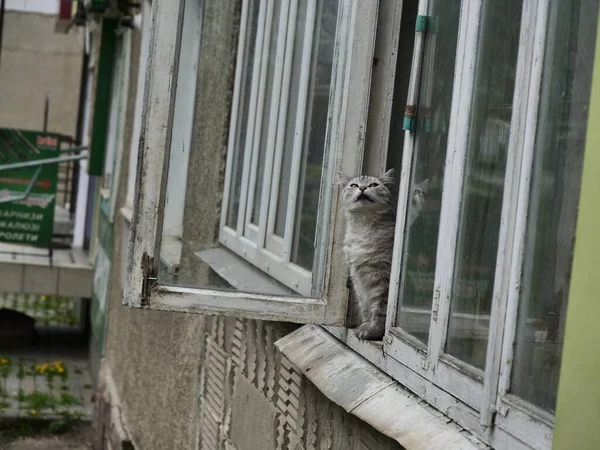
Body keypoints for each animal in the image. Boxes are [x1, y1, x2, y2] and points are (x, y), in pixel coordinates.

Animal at [342, 171, 426, 340]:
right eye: (354, 185)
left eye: (373, 185)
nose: (362, 188)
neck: (362, 229)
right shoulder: (358, 278)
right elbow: (365, 308)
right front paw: (364, 327)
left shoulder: (382, 277)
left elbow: (379, 310)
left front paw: (372, 331)